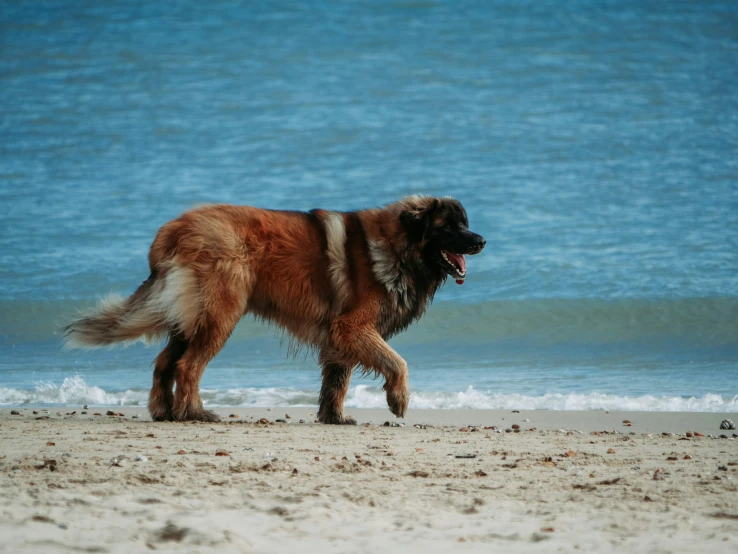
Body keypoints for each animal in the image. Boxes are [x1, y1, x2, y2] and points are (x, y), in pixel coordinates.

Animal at [64, 195, 484, 422]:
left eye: (465, 223)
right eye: (449, 227)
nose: (481, 240)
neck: (398, 247)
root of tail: (174, 227)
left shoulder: (340, 335)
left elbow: (337, 381)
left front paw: (334, 418)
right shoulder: (354, 327)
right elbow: (397, 362)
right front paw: (398, 399)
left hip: (189, 318)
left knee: (164, 363)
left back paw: (163, 411)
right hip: (220, 316)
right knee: (187, 366)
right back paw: (194, 413)